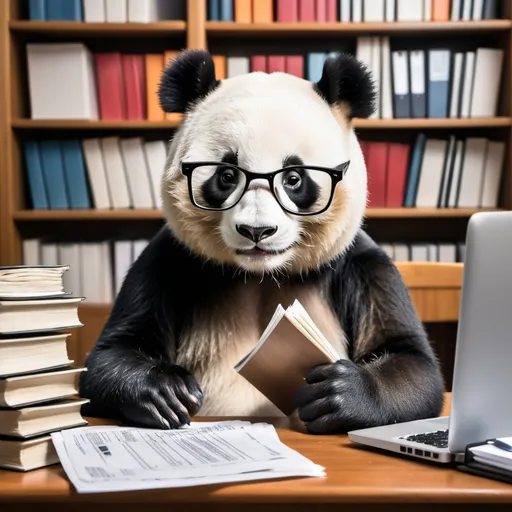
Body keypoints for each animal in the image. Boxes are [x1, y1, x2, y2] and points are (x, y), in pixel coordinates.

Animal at [79, 48, 444, 434]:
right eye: (227, 175)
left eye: (294, 178)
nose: (257, 231)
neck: (261, 274)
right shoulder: (169, 262)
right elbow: (112, 352)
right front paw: (164, 391)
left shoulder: (362, 268)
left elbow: (411, 360)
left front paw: (340, 395)